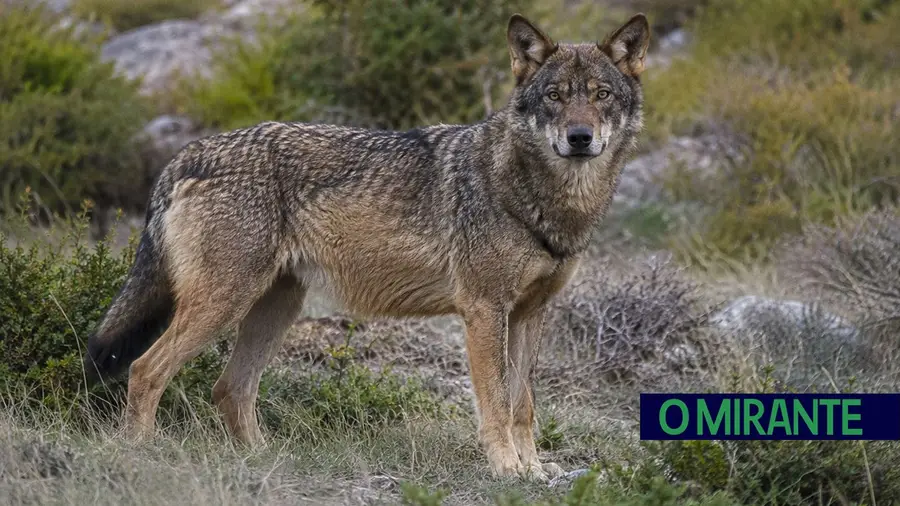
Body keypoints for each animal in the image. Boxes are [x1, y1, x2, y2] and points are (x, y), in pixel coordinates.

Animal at [84, 12, 650, 481]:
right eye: (555, 96)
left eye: (601, 95)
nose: (579, 137)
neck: (538, 198)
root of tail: (188, 154)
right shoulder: (484, 311)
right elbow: (495, 404)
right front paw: (507, 470)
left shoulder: (529, 314)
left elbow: (523, 405)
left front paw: (533, 470)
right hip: (223, 305)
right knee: (146, 369)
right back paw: (141, 453)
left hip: (274, 308)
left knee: (230, 389)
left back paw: (267, 459)